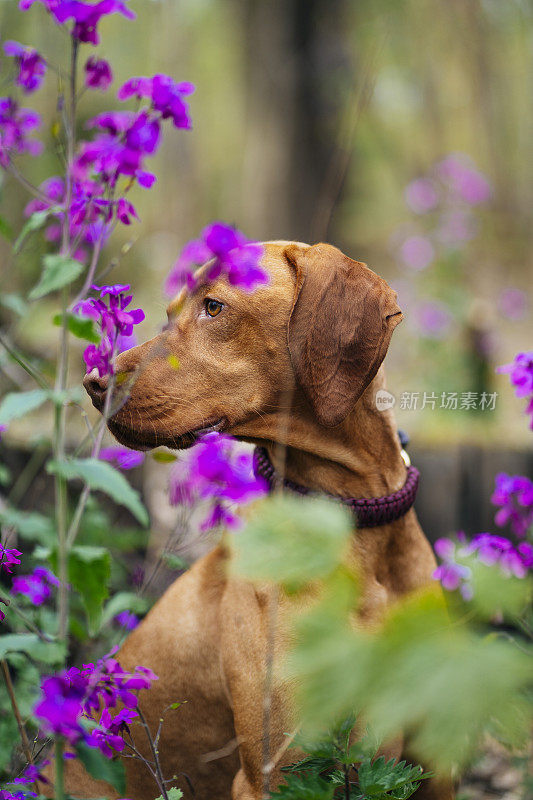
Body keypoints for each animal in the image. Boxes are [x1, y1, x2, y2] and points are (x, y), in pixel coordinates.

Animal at [62, 242, 454, 800]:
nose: (94, 382)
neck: (356, 528)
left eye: (213, 307)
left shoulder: (437, 767)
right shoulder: (277, 774)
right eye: (169, 313)